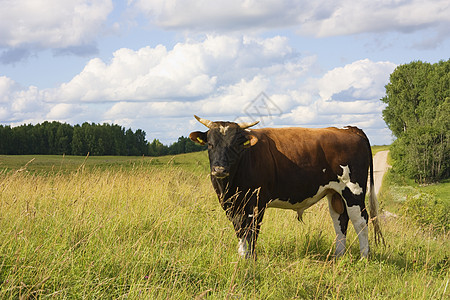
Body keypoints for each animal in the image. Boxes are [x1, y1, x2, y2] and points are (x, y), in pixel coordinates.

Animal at [190, 116, 384, 258]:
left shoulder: (256, 204)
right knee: (340, 220)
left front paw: (250, 260)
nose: (219, 169)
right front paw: (242, 257)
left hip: (353, 190)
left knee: (361, 221)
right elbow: (240, 231)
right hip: (335, 193)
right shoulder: (232, 205)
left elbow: (251, 232)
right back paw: (338, 256)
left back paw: (364, 257)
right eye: (210, 144)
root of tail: (350, 128)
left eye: (235, 145)